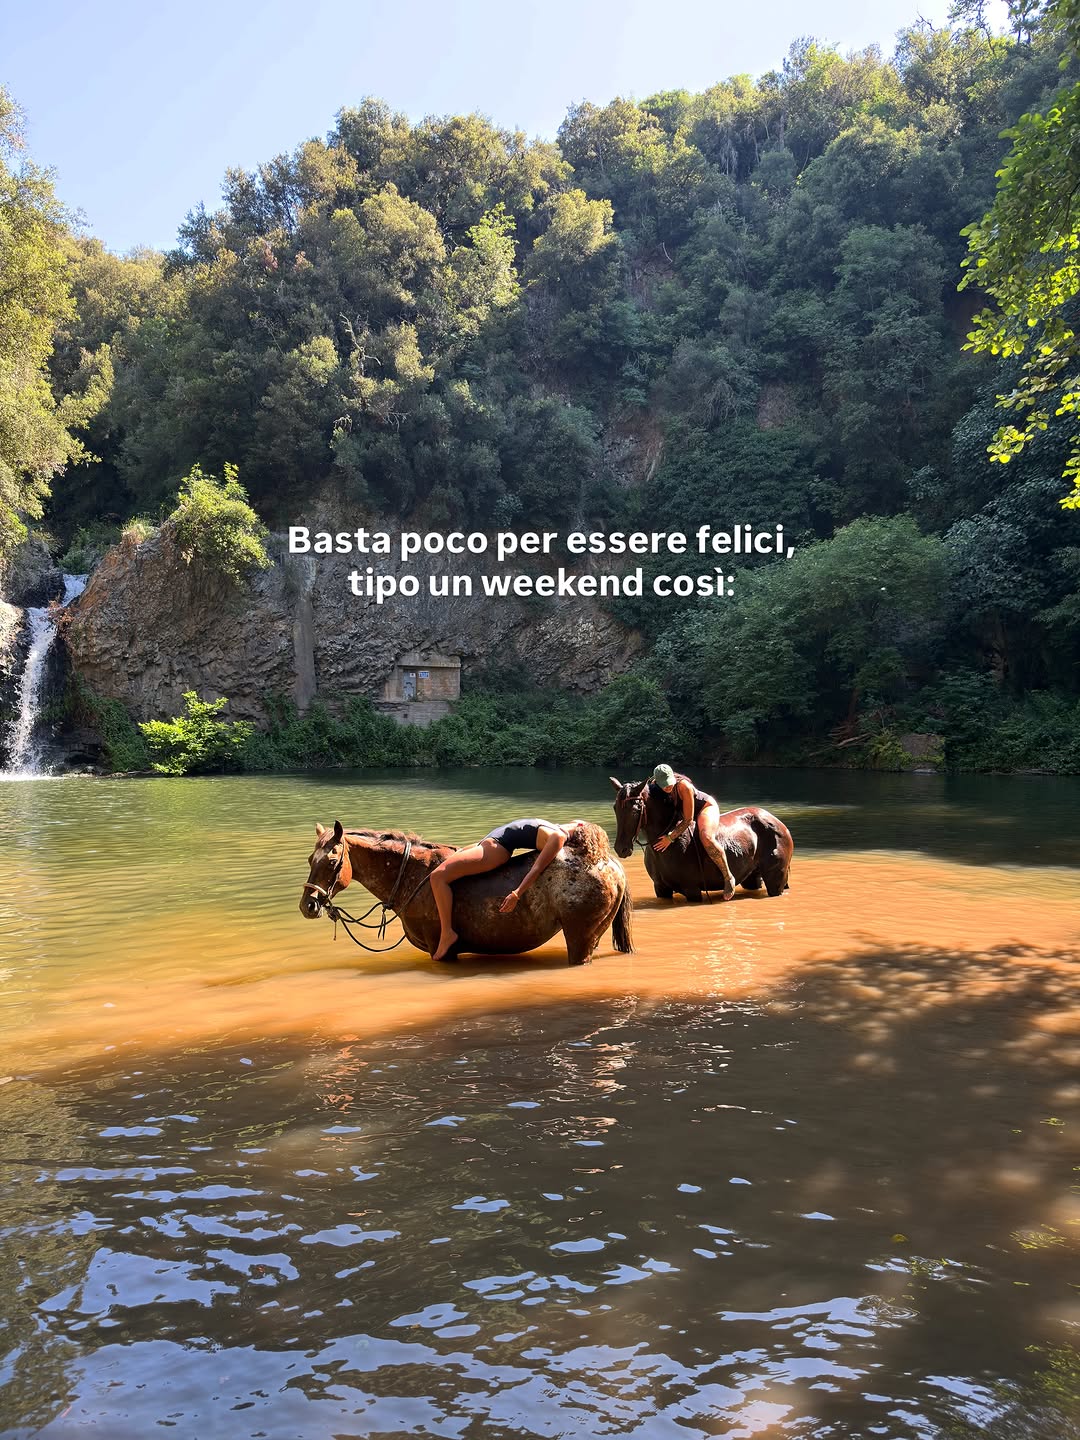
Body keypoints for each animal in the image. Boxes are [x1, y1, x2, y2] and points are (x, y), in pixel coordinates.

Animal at [300, 820, 634, 966]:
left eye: (332, 862)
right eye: (310, 859)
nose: (308, 905)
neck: (408, 875)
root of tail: (607, 861)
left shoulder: (444, 953)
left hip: (581, 938)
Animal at [609, 778, 793, 902]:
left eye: (635, 809)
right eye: (615, 807)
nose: (621, 849)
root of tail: (780, 824)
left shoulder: (692, 890)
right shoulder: (661, 888)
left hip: (775, 880)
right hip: (753, 878)